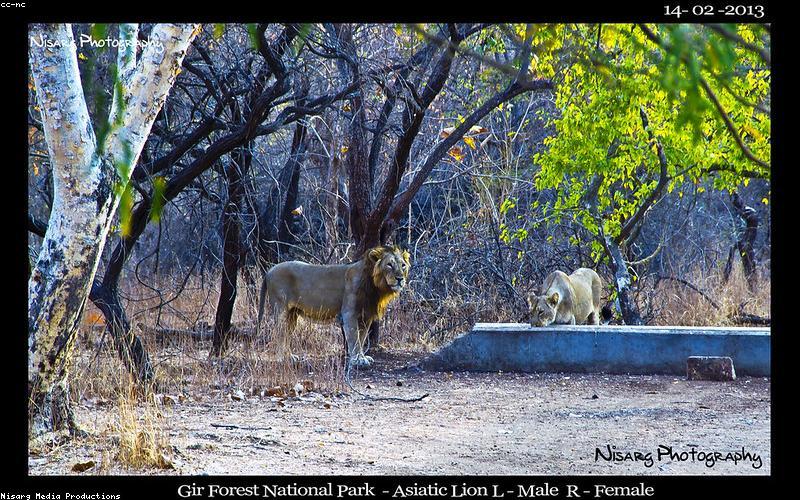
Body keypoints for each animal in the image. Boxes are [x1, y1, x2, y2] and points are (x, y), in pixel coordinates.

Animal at [256, 245, 411, 367]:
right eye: (389, 264)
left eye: (403, 265)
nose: (400, 279)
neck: (376, 287)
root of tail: (269, 272)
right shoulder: (349, 313)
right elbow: (354, 338)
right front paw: (357, 360)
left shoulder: (365, 316)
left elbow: (361, 337)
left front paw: (361, 357)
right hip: (281, 308)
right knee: (280, 334)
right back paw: (282, 358)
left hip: (292, 314)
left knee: (286, 334)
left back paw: (289, 356)